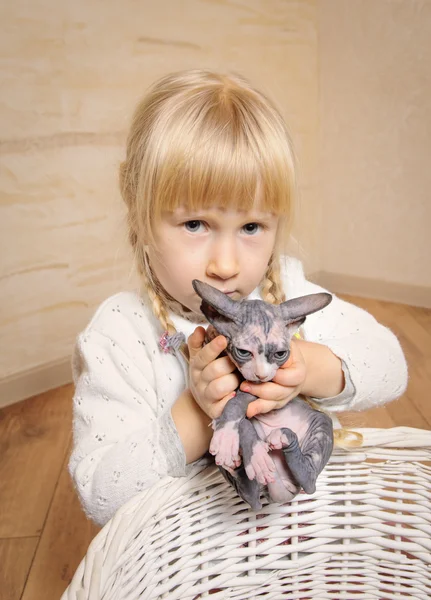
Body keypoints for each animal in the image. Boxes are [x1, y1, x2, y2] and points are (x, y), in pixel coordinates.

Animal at [193, 282, 338, 510]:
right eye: (244, 352)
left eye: (280, 354)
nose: (261, 375)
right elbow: (239, 414)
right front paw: (235, 441)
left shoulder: (265, 388)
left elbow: (238, 401)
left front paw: (226, 435)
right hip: (253, 489)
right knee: (253, 499)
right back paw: (243, 462)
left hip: (321, 425)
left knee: (310, 482)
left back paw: (282, 440)